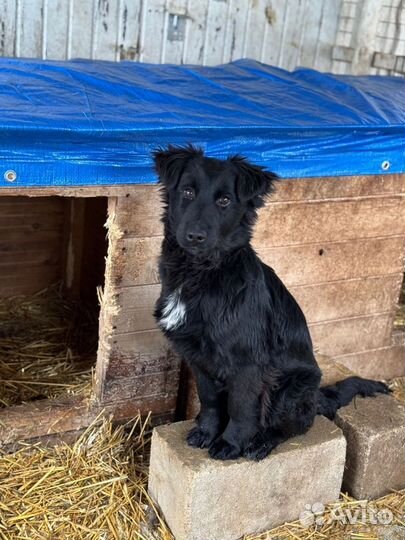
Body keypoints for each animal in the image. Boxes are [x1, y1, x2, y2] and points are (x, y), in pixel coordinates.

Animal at [152, 146, 388, 462]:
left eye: (225, 200)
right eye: (188, 192)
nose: (195, 236)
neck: (200, 273)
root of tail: (316, 395)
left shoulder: (248, 364)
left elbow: (241, 409)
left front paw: (230, 443)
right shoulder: (198, 357)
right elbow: (210, 400)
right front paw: (206, 432)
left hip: (290, 387)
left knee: (295, 425)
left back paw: (261, 442)